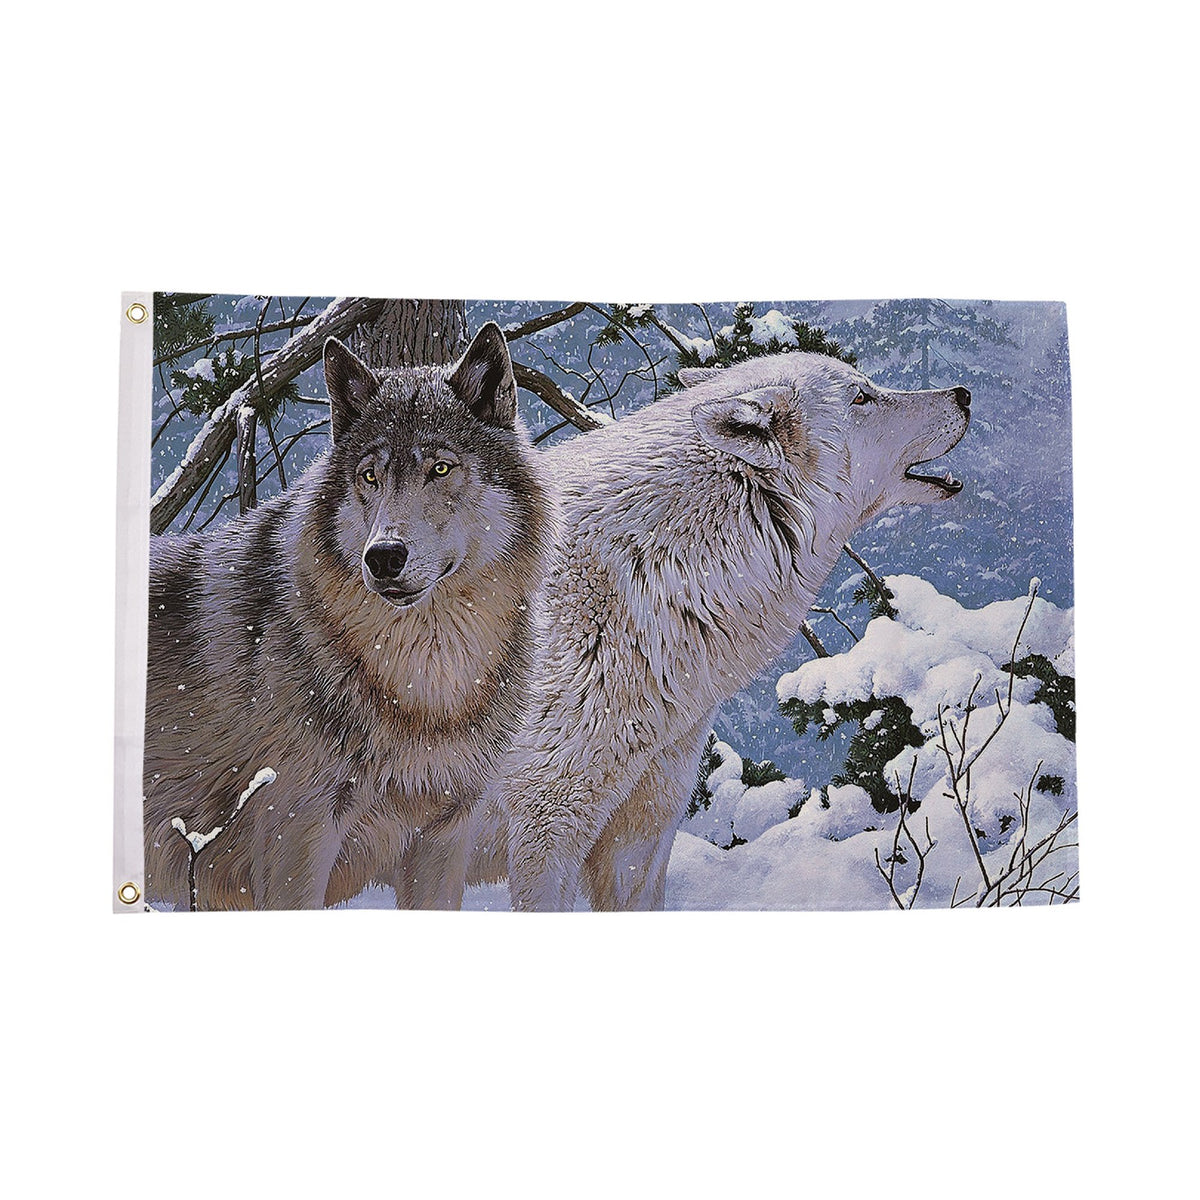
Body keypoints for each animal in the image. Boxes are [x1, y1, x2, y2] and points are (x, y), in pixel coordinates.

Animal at [143, 322, 556, 910]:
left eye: (441, 468)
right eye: (369, 476)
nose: (383, 556)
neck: (427, 684)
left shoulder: (448, 829)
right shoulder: (299, 831)